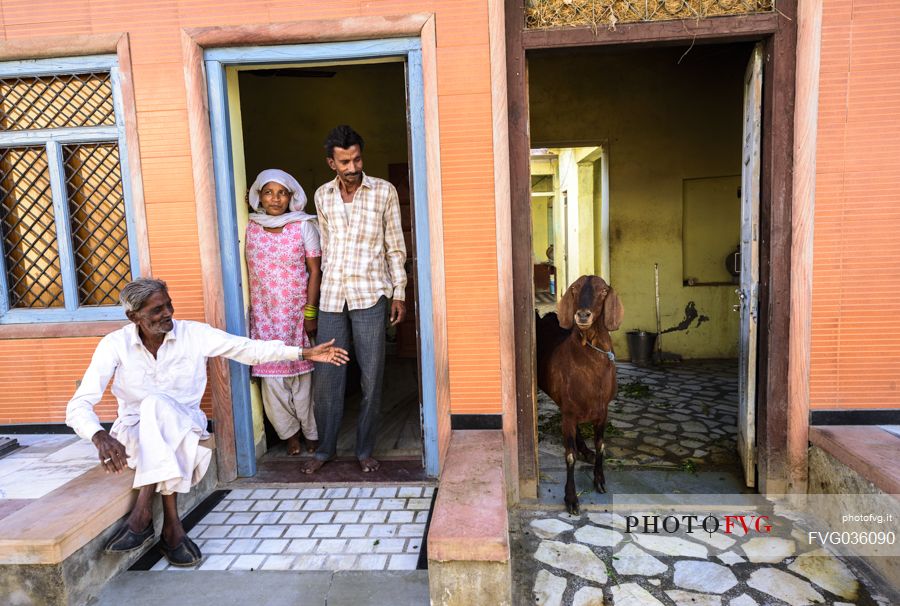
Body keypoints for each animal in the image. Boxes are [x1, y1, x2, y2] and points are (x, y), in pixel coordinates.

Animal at [536, 278, 624, 516]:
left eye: (603, 291)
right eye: (574, 289)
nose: (583, 315)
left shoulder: (603, 411)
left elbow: (601, 445)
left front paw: (599, 480)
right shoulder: (569, 411)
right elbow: (569, 455)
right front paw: (571, 498)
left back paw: (586, 450)